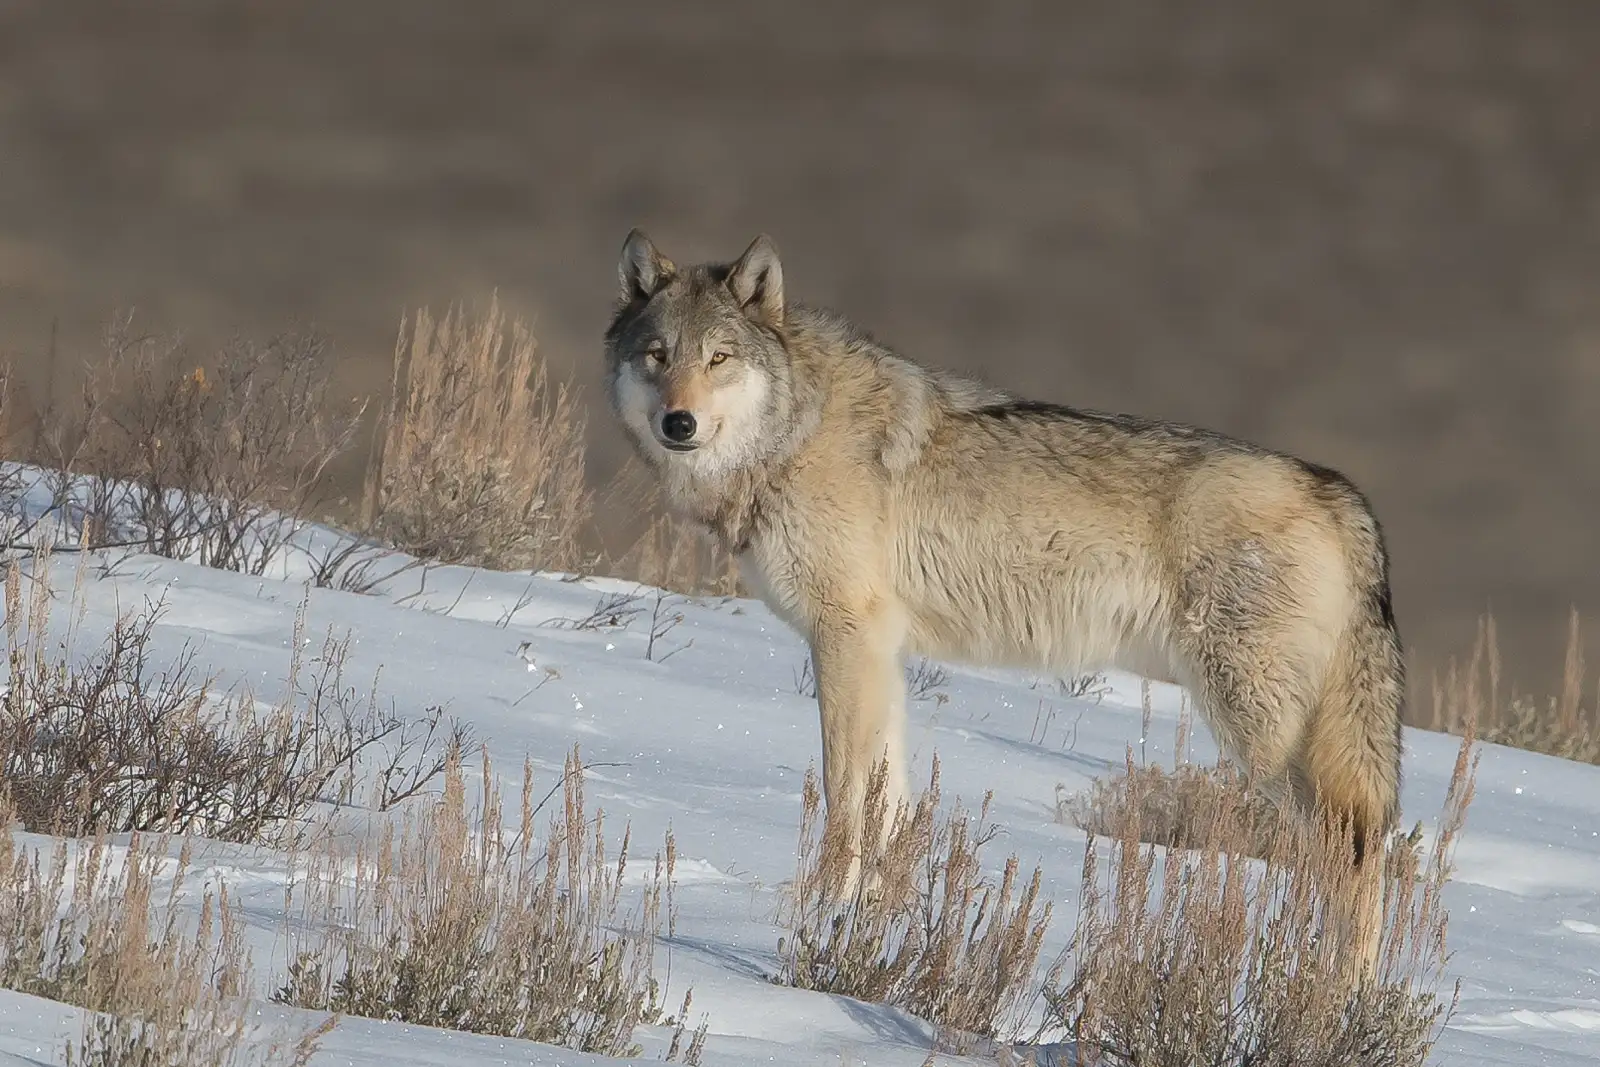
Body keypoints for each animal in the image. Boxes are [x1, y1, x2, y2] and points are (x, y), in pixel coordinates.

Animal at [604, 231, 1408, 895]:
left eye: (719, 359)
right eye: (657, 356)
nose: (680, 422)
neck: (796, 430)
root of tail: (1339, 491)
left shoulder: (844, 637)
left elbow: (842, 796)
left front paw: (822, 905)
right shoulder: (880, 652)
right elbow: (889, 803)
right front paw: (874, 918)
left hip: (1260, 731)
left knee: (1355, 850)